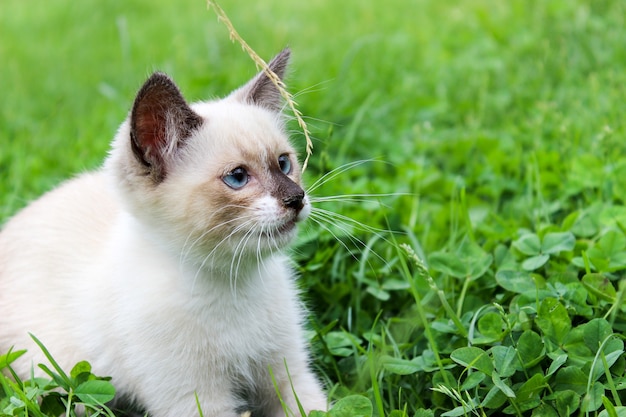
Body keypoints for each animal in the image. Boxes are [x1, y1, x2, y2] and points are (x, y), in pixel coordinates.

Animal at [0, 49, 330, 416]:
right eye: (238, 177)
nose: (297, 199)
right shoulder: (196, 399)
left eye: (284, 163)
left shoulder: (290, 375)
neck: (233, 281)